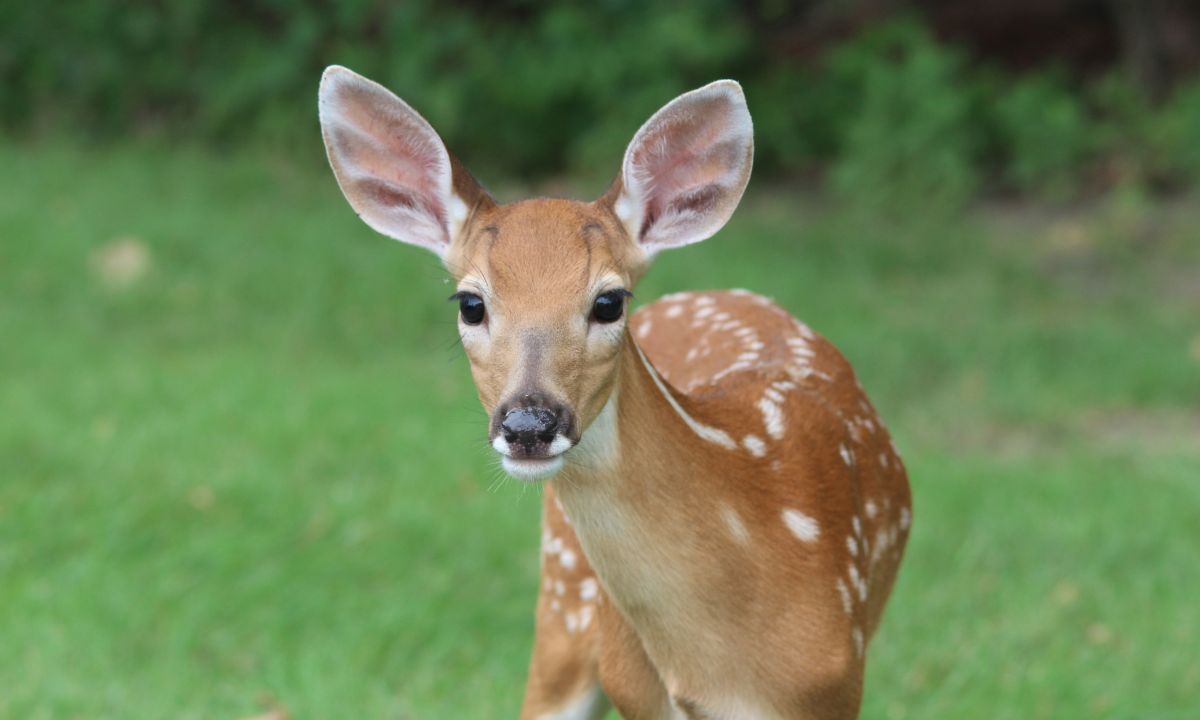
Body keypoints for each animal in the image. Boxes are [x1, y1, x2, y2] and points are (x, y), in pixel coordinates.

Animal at [314, 64, 912, 715]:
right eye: (470, 303)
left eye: (608, 301)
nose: (529, 425)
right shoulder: (634, 690)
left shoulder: (835, 685)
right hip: (564, 603)